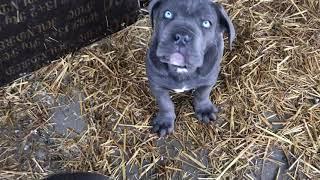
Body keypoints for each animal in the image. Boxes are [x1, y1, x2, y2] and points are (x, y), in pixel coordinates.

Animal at [147, 0, 235, 136]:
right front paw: (164, 122)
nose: (182, 36)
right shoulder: (156, 84)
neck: (182, 69)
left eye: (206, 23)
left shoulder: (208, 80)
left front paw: (205, 110)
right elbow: (165, 104)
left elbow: (202, 95)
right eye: (168, 14)